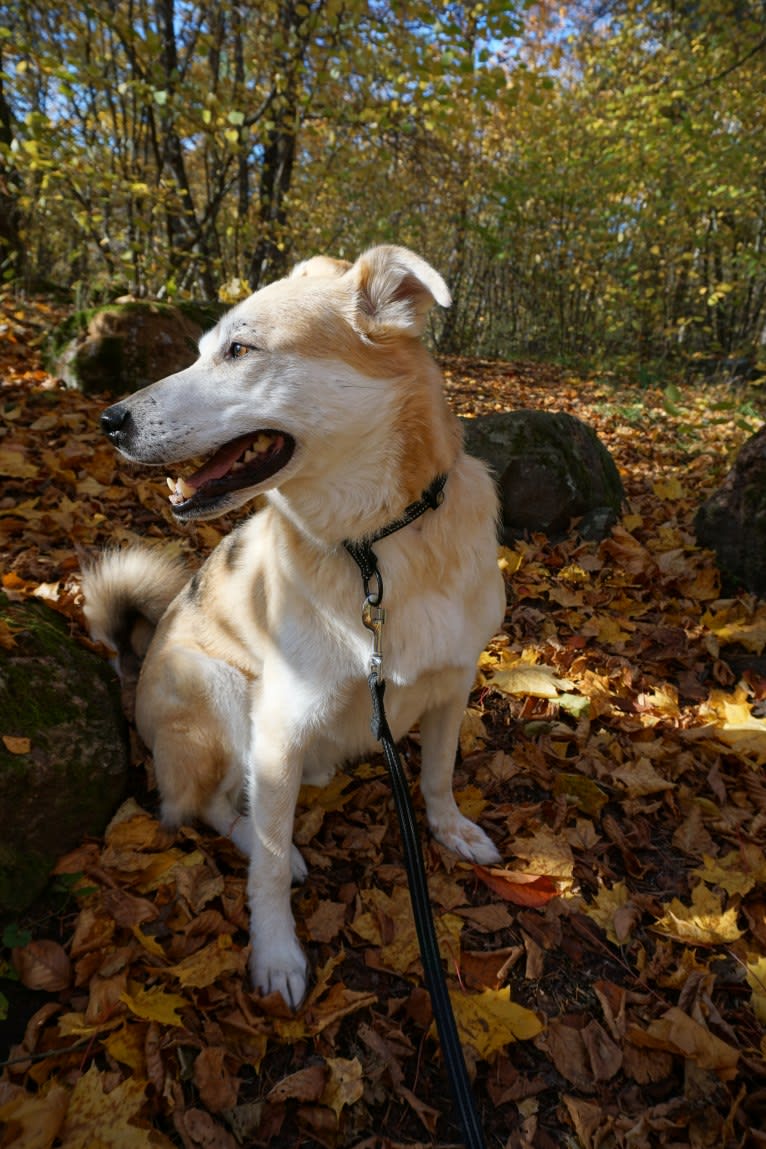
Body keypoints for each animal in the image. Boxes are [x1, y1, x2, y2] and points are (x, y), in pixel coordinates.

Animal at [80, 244, 505, 1006]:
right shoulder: (277, 727)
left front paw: (451, 829)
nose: (111, 419)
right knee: (198, 806)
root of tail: (134, 669)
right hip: (222, 691)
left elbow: (437, 775)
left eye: (238, 350)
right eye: (201, 350)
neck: (375, 549)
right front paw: (276, 951)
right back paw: (251, 831)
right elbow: (270, 870)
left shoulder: (452, 685)